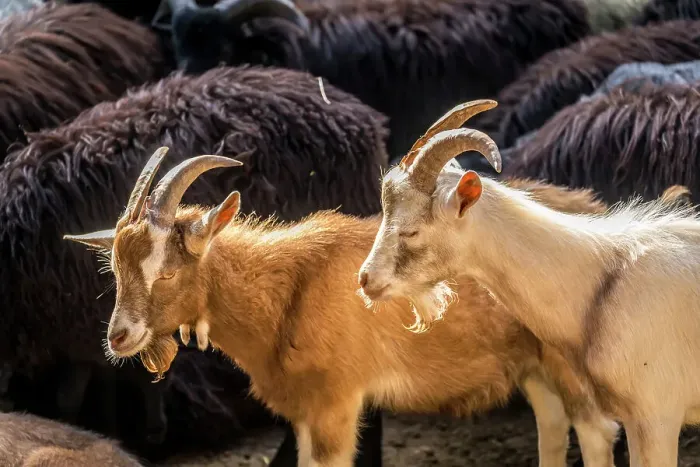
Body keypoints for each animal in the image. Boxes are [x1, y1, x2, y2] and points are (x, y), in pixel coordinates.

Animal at [62, 147, 630, 467]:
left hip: (567, 363)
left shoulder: (336, 406)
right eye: (116, 270)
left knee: (597, 434)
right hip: (533, 366)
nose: (119, 337)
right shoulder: (306, 412)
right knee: (554, 427)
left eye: (167, 271)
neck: (290, 285)